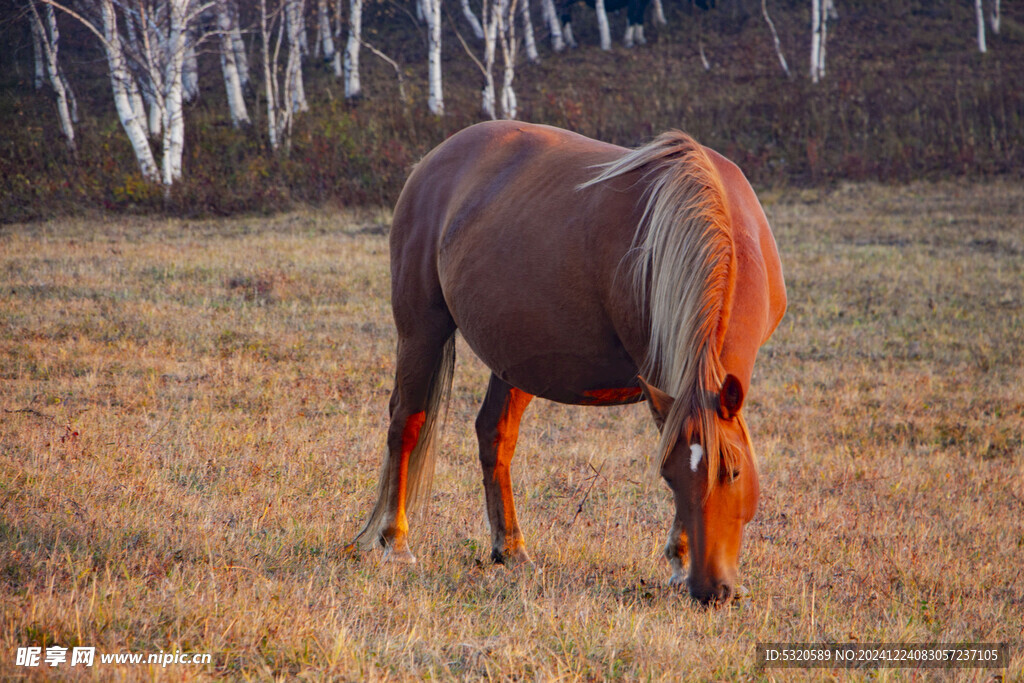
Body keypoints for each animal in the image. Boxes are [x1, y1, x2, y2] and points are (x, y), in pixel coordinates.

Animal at [348, 121, 786, 602]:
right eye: (669, 478)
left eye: (734, 472)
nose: (710, 590)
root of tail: (433, 160)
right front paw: (678, 558)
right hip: (421, 330)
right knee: (406, 424)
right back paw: (396, 542)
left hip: (516, 359)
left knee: (494, 435)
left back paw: (511, 549)